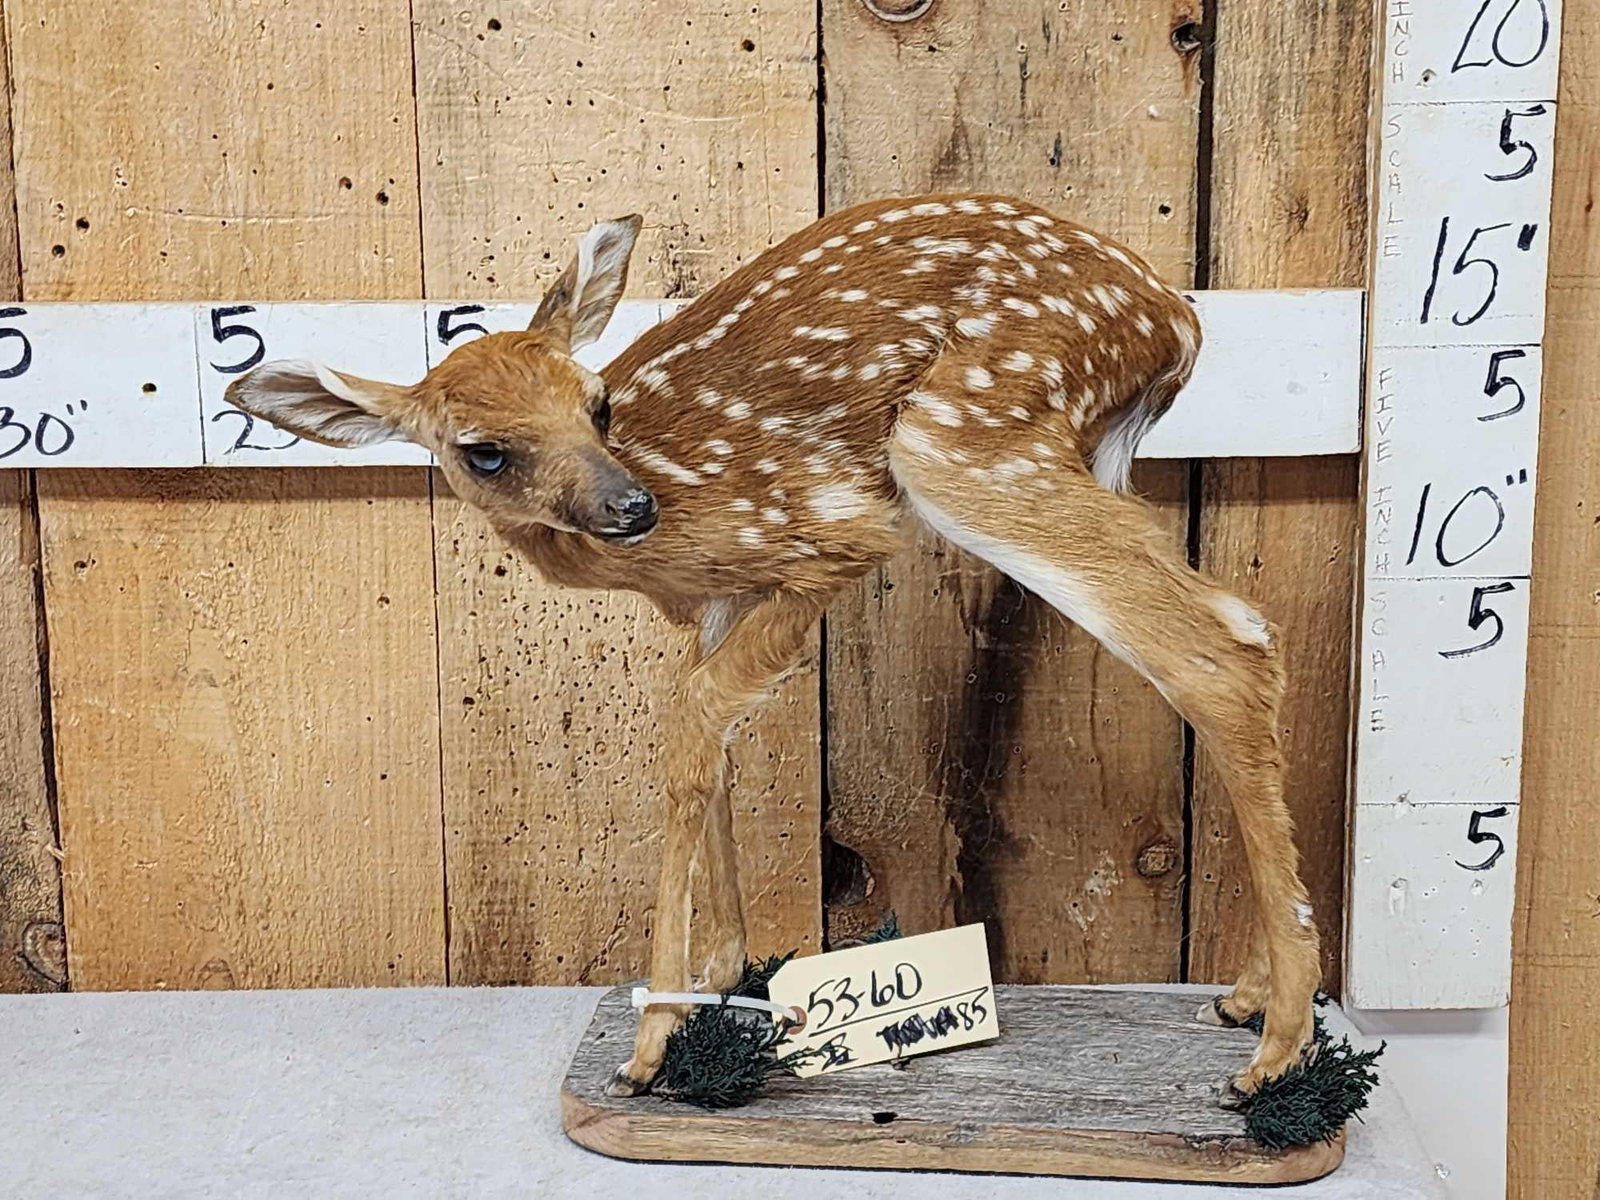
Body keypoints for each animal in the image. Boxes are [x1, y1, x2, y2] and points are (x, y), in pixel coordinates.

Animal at [226, 193, 1321, 1105]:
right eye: (483, 450)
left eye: (594, 403)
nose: (631, 505)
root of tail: (1179, 320)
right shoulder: (720, 598)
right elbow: (708, 739)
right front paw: (720, 978)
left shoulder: (821, 538)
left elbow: (690, 724)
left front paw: (651, 1043)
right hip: (1060, 454)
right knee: (1240, 627)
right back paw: (1246, 1000)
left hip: (966, 442)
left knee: (1217, 648)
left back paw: (1273, 1054)